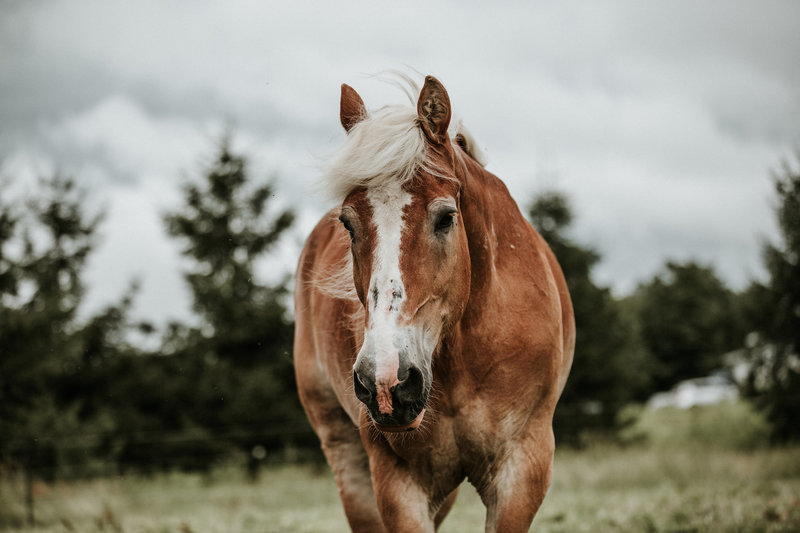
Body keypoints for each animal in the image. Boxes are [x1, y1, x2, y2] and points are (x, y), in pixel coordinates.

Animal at [294, 76, 576, 532]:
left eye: (446, 217)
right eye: (348, 224)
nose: (386, 382)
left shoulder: (522, 471)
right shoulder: (399, 485)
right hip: (346, 456)